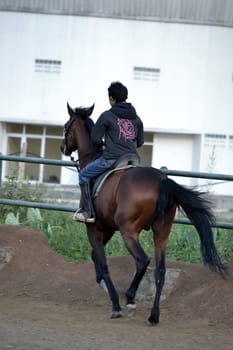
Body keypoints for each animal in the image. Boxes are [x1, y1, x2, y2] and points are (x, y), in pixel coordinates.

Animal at [60, 102, 226, 326]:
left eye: (66, 126)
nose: (63, 147)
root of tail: (162, 180)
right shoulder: (107, 228)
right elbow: (96, 256)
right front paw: (101, 283)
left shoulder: (93, 227)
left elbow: (102, 262)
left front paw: (114, 302)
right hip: (161, 233)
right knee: (160, 270)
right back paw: (153, 315)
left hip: (129, 232)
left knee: (142, 261)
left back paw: (129, 299)